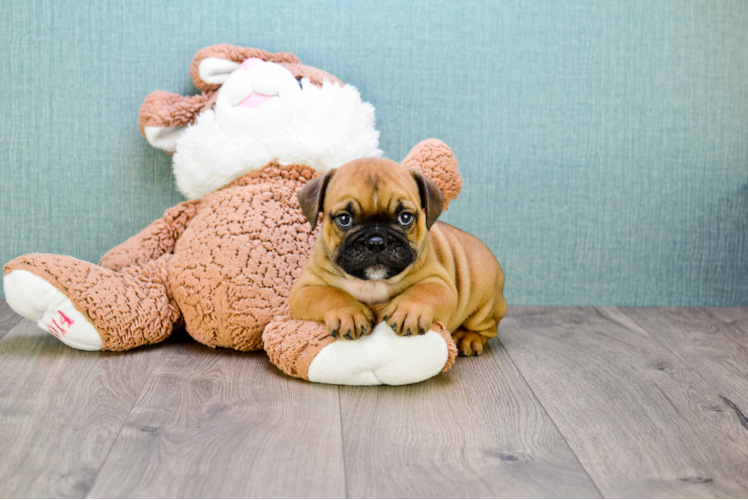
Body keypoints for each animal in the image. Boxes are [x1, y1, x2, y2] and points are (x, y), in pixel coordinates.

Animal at [290, 158, 506, 358]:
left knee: (487, 327)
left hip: (483, 305)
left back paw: (468, 338)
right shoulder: (304, 290)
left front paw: (409, 310)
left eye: (405, 218)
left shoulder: (441, 284)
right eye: (344, 219)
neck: (372, 282)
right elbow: (330, 294)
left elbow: (423, 291)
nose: (376, 242)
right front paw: (349, 313)